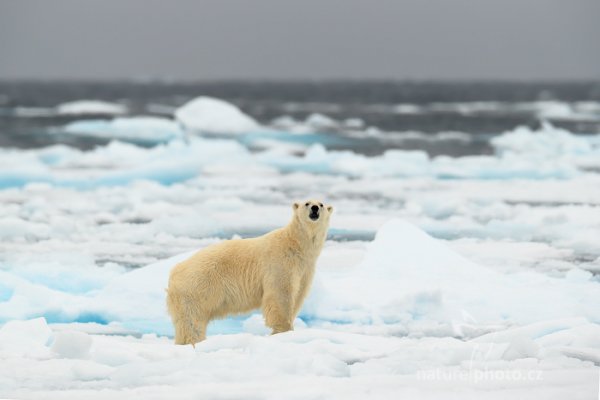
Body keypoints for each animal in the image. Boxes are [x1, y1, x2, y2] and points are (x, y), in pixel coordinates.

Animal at [165, 199, 332, 344]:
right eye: (307, 203)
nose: (315, 208)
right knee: (192, 322)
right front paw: (284, 330)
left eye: (321, 204)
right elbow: (280, 294)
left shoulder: (305, 269)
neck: (296, 244)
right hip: (196, 290)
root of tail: (174, 272)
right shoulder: (280, 262)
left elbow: (298, 294)